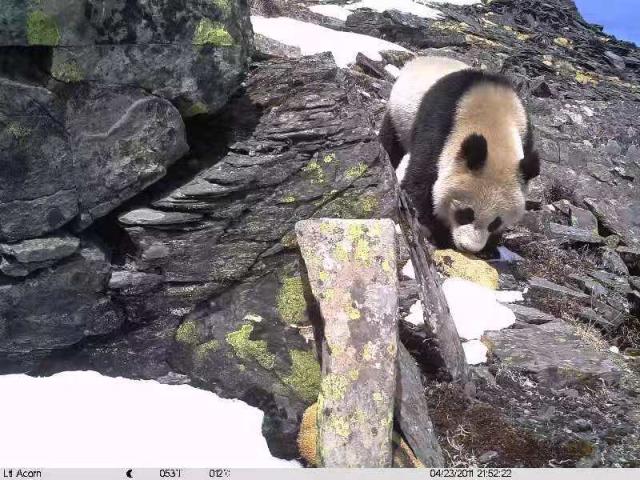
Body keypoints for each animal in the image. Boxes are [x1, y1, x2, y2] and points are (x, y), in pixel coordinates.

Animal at [380, 56, 540, 253]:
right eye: (466, 214)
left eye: (495, 222)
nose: (469, 248)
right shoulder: (440, 129)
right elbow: (420, 182)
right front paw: (439, 234)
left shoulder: (525, 138)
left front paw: (490, 248)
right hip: (398, 115)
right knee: (390, 144)